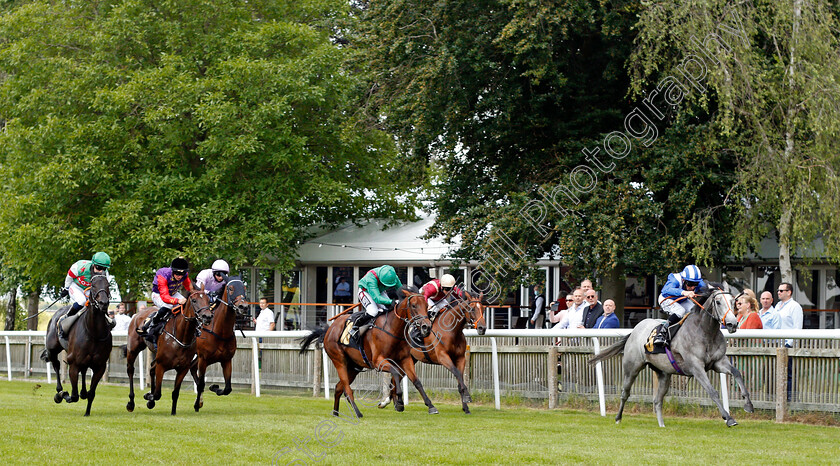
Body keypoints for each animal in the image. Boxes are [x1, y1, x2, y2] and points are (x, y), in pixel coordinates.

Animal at [41, 274, 112, 416]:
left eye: (108, 285)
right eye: (93, 285)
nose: (103, 303)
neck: (94, 332)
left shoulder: (100, 366)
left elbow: (92, 393)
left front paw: (87, 412)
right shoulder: (73, 363)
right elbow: (73, 396)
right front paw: (63, 394)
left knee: (83, 371)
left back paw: (82, 392)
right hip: (52, 349)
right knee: (56, 365)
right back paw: (59, 390)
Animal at [122, 288, 212, 416]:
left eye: (208, 300)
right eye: (194, 300)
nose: (207, 316)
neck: (181, 336)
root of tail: (137, 314)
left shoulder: (183, 368)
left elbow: (175, 393)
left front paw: (173, 412)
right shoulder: (162, 365)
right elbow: (157, 394)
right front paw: (148, 396)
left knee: (151, 367)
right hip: (133, 349)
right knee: (130, 370)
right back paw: (131, 403)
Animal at [188, 276, 246, 412]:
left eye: (244, 288)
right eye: (231, 288)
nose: (243, 306)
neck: (220, 331)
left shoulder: (226, 360)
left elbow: (228, 388)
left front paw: (214, 387)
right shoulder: (203, 359)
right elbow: (201, 383)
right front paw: (197, 404)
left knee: (192, 369)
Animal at [300, 288, 434, 418]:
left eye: (427, 305)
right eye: (414, 305)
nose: (426, 327)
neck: (392, 329)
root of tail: (329, 329)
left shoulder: (405, 359)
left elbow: (416, 381)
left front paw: (430, 406)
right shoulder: (378, 361)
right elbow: (395, 373)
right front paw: (399, 401)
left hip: (353, 367)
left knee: (338, 388)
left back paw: (335, 413)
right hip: (339, 361)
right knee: (347, 390)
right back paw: (357, 413)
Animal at [584, 290, 756, 428]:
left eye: (734, 302)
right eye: (718, 302)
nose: (732, 324)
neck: (705, 332)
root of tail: (635, 330)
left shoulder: (719, 362)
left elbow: (737, 373)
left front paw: (748, 405)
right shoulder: (696, 367)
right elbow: (712, 392)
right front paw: (728, 418)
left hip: (664, 374)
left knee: (657, 400)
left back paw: (662, 425)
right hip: (632, 368)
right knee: (625, 393)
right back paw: (618, 418)